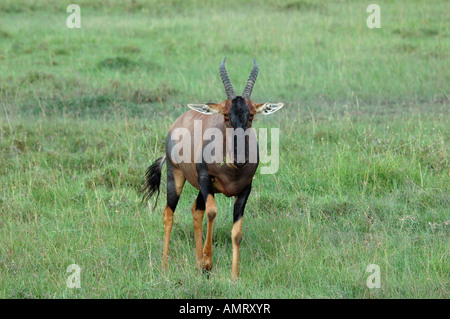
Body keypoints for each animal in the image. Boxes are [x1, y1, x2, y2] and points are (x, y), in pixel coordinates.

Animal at [143, 58, 284, 280]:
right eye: (226, 116)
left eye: (251, 115)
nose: (239, 158)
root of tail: (177, 123)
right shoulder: (205, 179)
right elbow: (211, 212)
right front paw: (208, 262)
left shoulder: (245, 189)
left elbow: (236, 232)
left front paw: (233, 275)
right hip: (176, 175)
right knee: (169, 213)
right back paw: (165, 266)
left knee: (195, 210)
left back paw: (197, 263)